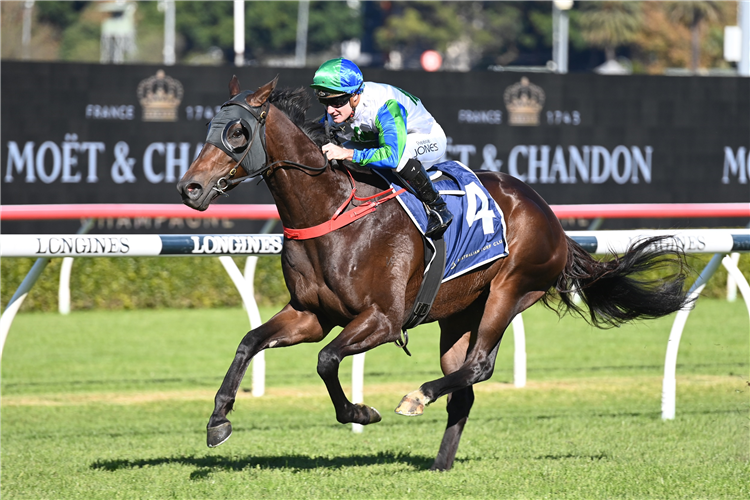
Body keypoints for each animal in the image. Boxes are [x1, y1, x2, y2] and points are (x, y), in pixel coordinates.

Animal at [178, 76, 692, 470]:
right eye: (210, 127)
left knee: (479, 365)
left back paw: (417, 397)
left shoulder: (383, 319)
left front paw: (361, 412)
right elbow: (249, 342)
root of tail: (551, 218)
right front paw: (218, 421)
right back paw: (439, 463)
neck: (332, 212)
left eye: (239, 132)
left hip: (510, 289)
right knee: (463, 383)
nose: (190, 187)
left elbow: (326, 360)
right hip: (459, 314)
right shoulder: (311, 315)